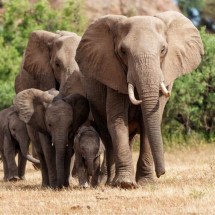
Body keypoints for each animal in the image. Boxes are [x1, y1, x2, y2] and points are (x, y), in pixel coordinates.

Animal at [76, 10, 205, 187]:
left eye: (163, 50)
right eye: (123, 51)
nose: (161, 172)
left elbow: (149, 122)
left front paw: (146, 183)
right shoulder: (113, 75)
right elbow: (117, 120)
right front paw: (125, 184)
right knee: (108, 137)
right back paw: (110, 182)